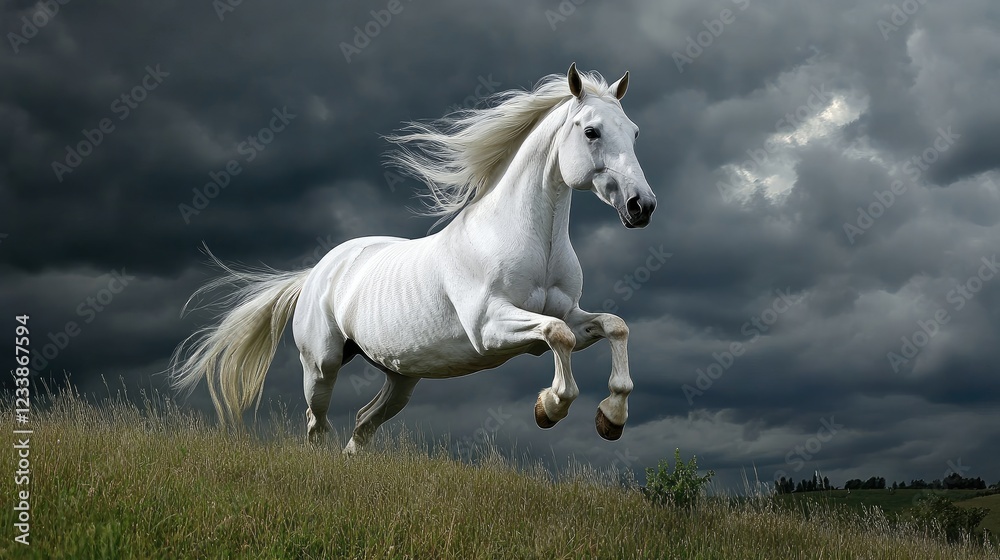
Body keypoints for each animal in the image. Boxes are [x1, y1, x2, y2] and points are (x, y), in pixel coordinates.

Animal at [169, 63, 656, 455]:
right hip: (321, 365)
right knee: (316, 424)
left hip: (402, 376)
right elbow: (559, 337)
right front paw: (549, 407)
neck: (529, 240)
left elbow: (613, 326)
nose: (642, 207)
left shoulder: (570, 312)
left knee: (362, 425)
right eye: (591, 131)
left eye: (634, 132)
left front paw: (611, 418)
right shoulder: (489, 326)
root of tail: (316, 273)